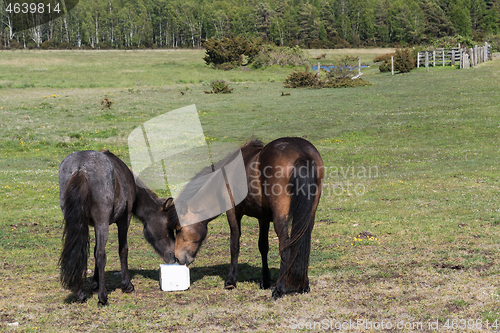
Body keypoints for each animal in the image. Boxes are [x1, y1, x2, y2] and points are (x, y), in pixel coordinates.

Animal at [58, 149, 177, 304]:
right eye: (168, 227)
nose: (174, 256)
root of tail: (81, 168)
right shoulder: (124, 220)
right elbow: (122, 249)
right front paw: (127, 285)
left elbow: (94, 250)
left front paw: (95, 284)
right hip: (102, 222)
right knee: (101, 254)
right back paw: (102, 297)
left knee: (79, 253)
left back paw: (81, 294)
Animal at [168, 136, 324, 296]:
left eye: (179, 229)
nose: (177, 257)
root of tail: (301, 153)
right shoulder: (263, 218)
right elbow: (263, 246)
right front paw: (265, 281)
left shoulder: (233, 212)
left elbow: (234, 244)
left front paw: (231, 281)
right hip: (307, 216)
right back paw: (304, 286)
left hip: (280, 217)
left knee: (285, 246)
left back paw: (279, 289)